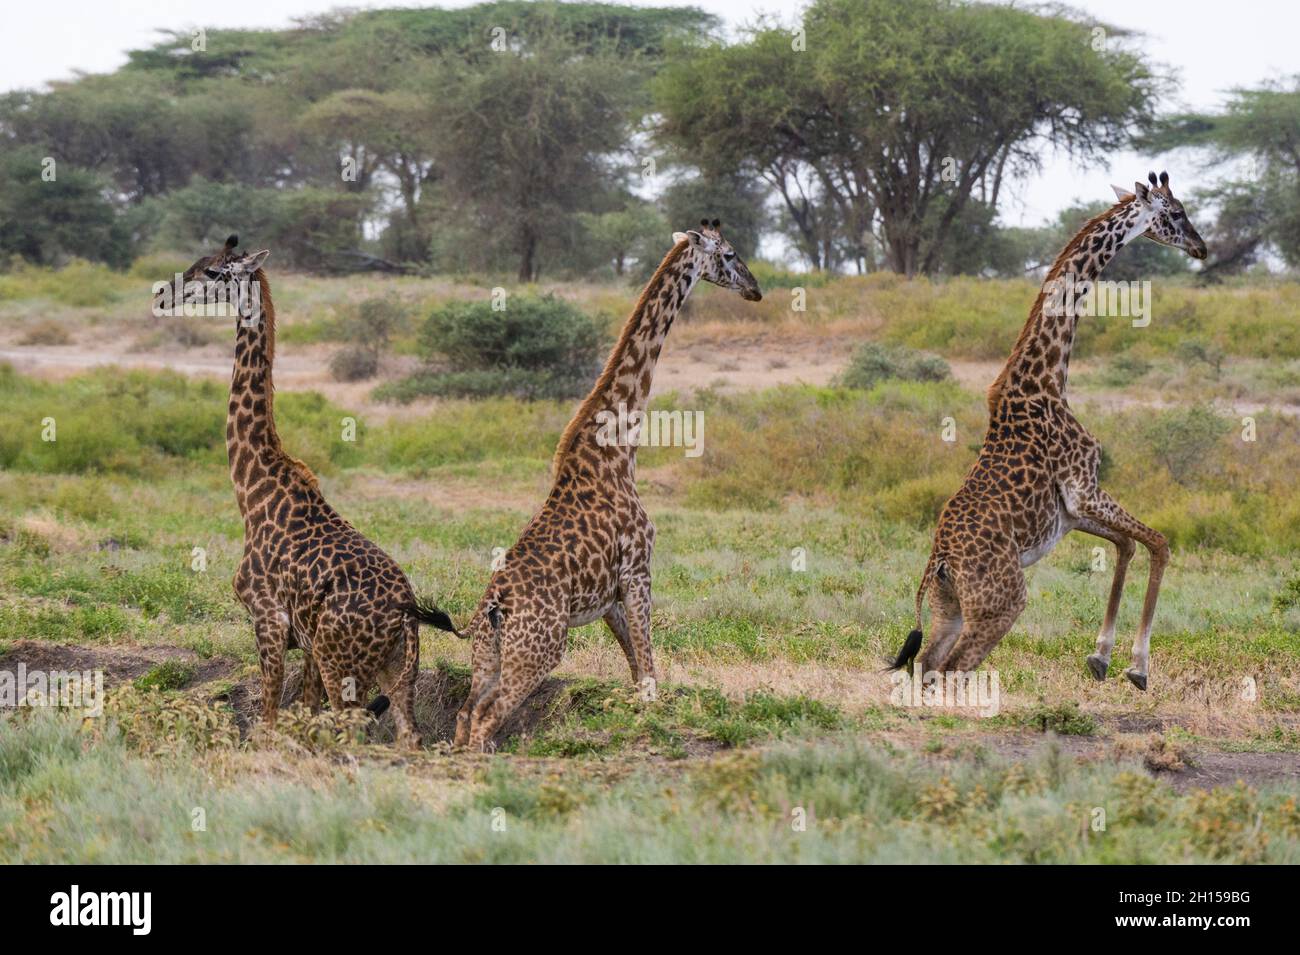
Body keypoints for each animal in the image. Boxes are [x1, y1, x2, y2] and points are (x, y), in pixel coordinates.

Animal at [152, 237, 460, 748]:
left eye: (213, 272)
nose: (162, 295)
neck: (253, 491)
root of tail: (404, 612)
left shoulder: (267, 621)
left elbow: (269, 719)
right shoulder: (308, 645)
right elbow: (305, 716)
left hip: (346, 667)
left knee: (354, 732)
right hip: (398, 671)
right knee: (408, 738)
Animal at [454, 220, 759, 748]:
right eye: (729, 254)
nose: (755, 288)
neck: (618, 449)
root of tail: (492, 606)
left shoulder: (610, 598)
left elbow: (639, 673)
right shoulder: (638, 572)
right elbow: (651, 676)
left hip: (486, 656)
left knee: (463, 714)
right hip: (540, 648)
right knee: (487, 718)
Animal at [894, 171, 1206, 691]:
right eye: (1177, 213)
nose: (1201, 247)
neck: (1047, 378)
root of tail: (939, 564)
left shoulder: (1072, 512)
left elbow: (1128, 544)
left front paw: (1101, 657)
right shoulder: (1084, 488)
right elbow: (1159, 543)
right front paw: (1136, 667)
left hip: (948, 609)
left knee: (928, 667)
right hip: (1001, 605)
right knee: (953, 669)